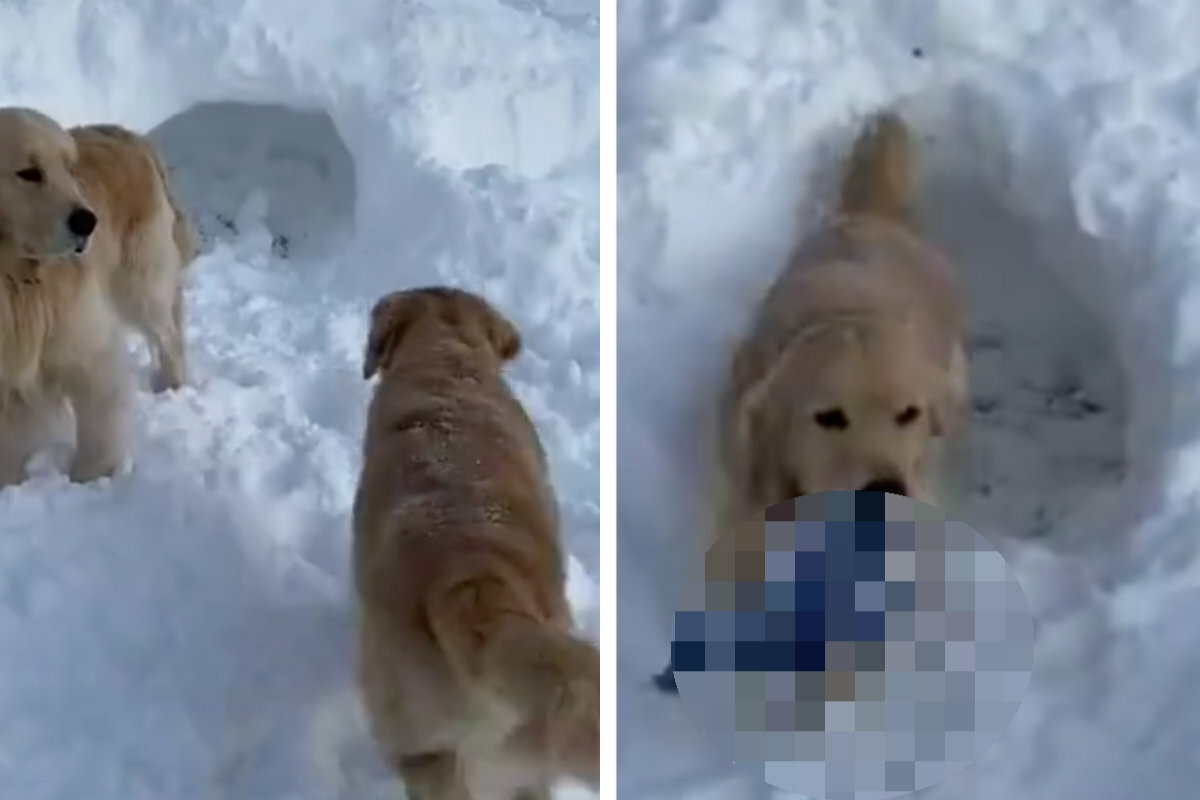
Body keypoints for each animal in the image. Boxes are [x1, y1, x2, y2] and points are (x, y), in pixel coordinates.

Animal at [0, 103, 199, 484]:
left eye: (71, 169)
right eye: (29, 173)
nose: (87, 221)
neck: (14, 278)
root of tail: (132, 137)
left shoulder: (88, 347)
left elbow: (99, 425)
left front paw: (91, 478)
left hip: (140, 284)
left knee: (169, 335)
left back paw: (172, 384)